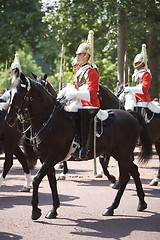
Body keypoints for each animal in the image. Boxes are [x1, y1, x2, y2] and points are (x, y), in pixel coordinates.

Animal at [5, 71, 152, 219]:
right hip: (119, 153)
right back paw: (141, 203)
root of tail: (130, 115)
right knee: (134, 171)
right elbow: (52, 182)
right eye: (10, 92)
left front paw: (35, 211)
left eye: (18, 93)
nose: (8, 119)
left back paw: (111, 207)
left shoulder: (52, 156)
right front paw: (53, 209)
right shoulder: (44, 158)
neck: (48, 119)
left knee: (124, 177)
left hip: (122, 154)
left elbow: (37, 179)